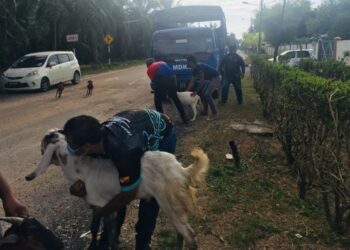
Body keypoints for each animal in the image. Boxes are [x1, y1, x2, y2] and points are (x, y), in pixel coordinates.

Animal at [26, 129, 209, 248]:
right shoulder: (100, 206)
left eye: (47, 140)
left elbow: (107, 233)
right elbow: (99, 229)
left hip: (170, 203)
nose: (48, 135)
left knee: (189, 235)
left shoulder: (104, 206)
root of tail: (182, 170)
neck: (81, 168)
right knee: (182, 233)